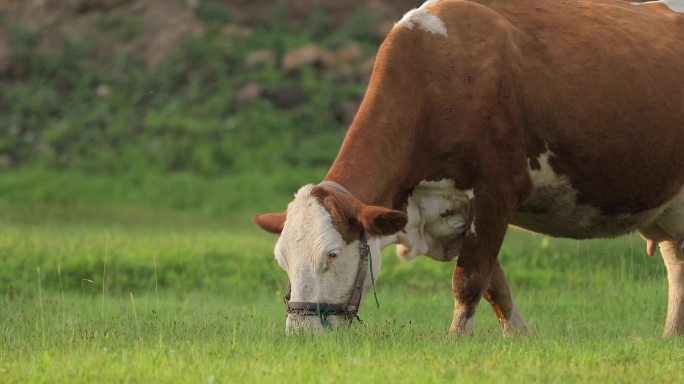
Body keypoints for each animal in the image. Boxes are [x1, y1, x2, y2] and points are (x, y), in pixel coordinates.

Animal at [254, 0, 684, 336]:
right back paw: (671, 334)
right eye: (281, 259)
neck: (437, 79)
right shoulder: (451, 213)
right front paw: (519, 337)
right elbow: (496, 285)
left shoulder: (497, 191)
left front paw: (456, 341)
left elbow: (469, 280)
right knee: (675, 260)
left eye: (331, 255)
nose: (301, 331)